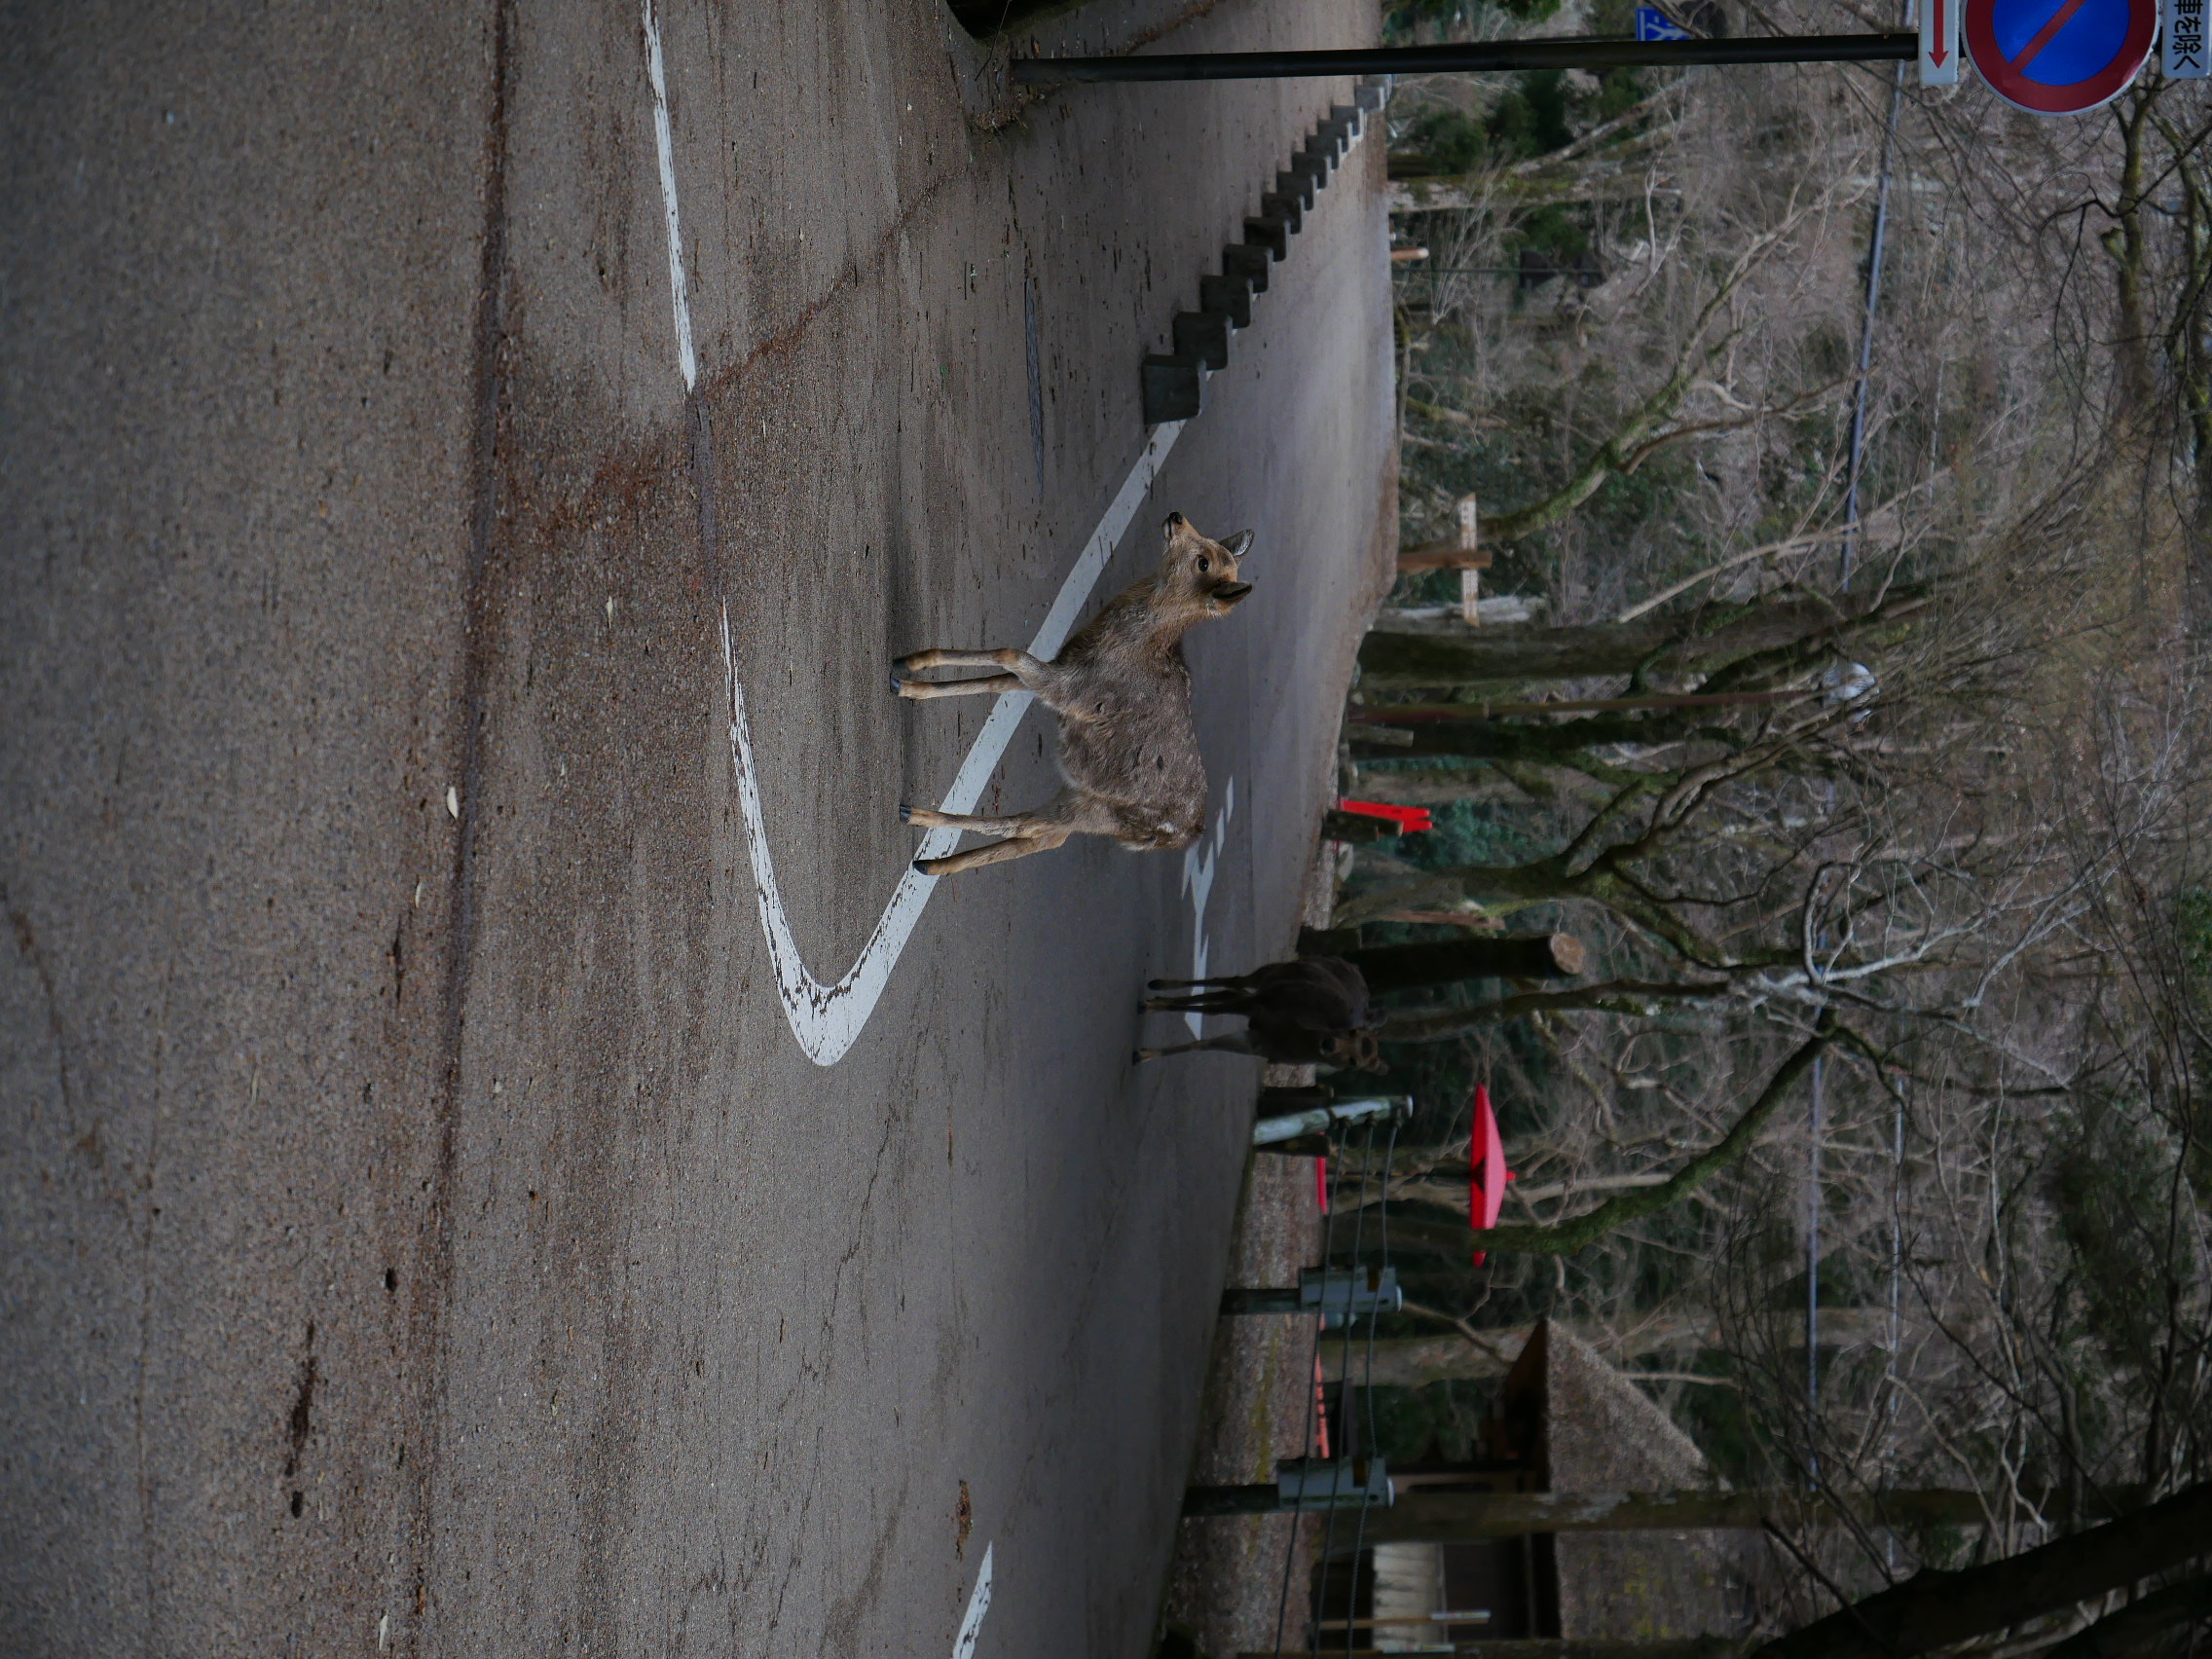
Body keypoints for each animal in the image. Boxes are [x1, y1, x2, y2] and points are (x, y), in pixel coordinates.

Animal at [891, 512, 1253, 878]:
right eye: (1208, 542)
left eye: (1203, 562)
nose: (1176, 517)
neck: (1124, 643)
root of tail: (1180, 838)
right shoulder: (1059, 670)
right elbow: (997, 680)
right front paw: (910, 675)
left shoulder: (1068, 688)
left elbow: (1009, 653)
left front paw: (907, 668)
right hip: (1079, 795)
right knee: (1045, 837)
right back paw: (930, 864)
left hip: (1097, 811)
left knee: (1027, 826)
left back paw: (915, 818)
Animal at [1136, 956, 1386, 1071]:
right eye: (1353, 1032)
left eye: (1355, 1063)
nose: (1329, 1044)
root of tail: (1353, 964)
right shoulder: (1262, 1004)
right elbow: (1210, 1011)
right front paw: (1151, 1007)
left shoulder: (1255, 1043)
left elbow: (1201, 1044)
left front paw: (1145, 1054)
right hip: (1272, 974)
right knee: (1233, 982)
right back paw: (1158, 986)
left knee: (1228, 991)